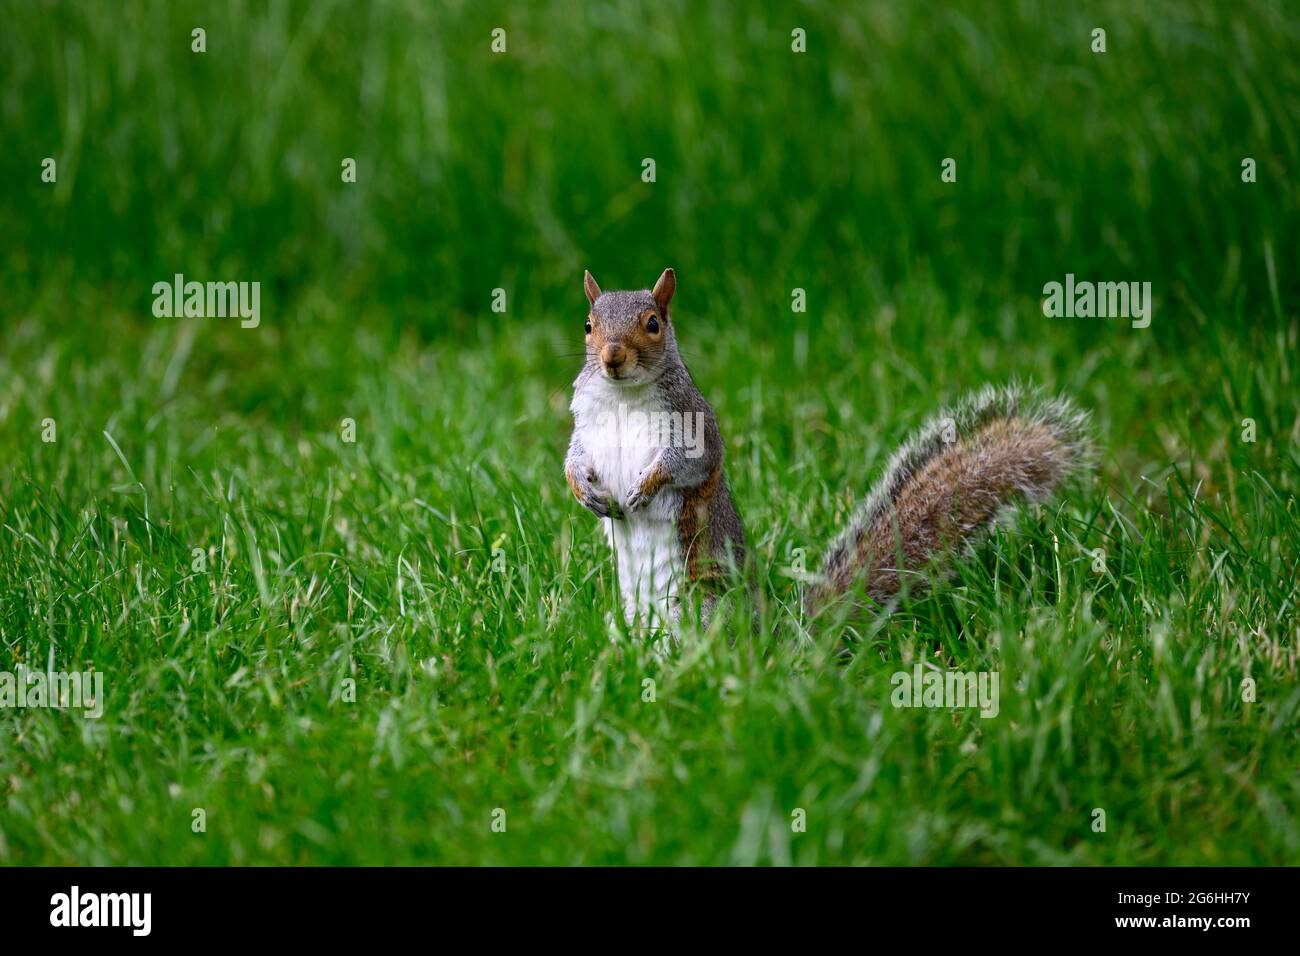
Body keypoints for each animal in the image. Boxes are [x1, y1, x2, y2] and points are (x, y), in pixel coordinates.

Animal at [565, 268, 1092, 630]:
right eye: (588, 325)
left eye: (653, 323)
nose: (612, 357)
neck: (623, 396)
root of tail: (775, 645)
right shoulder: (586, 428)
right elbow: (574, 462)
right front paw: (585, 493)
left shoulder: (694, 426)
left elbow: (688, 464)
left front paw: (644, 487)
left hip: (704, 606)